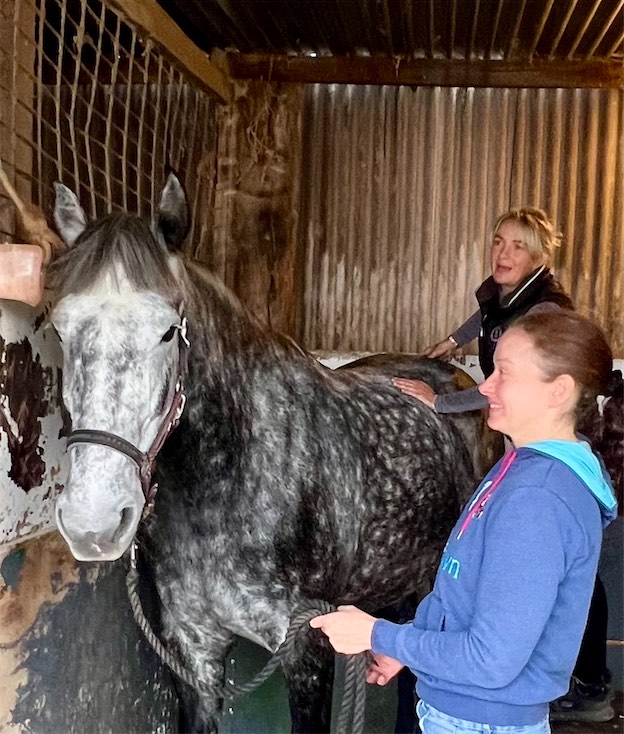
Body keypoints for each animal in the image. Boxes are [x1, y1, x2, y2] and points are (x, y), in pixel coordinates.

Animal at [49, 173, 494, 733]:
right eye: (59, 329)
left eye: (168, 330)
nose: (94, 522)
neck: (228, 486)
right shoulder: (195, 653)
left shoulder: (306, 648)